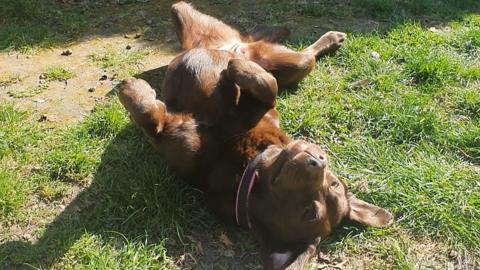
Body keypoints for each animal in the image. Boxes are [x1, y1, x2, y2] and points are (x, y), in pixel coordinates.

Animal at [117, 1, 394, 268]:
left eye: (309, 213)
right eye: (334, 183)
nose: (318, 160)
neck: (241, 156)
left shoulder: (173, 144)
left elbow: (150, 119)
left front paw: (131, 90)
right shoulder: (262, 108)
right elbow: (269, 86)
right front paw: (238, 68)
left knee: (303, 56)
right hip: (273, 58)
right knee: (284, 54)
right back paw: (288, 35)